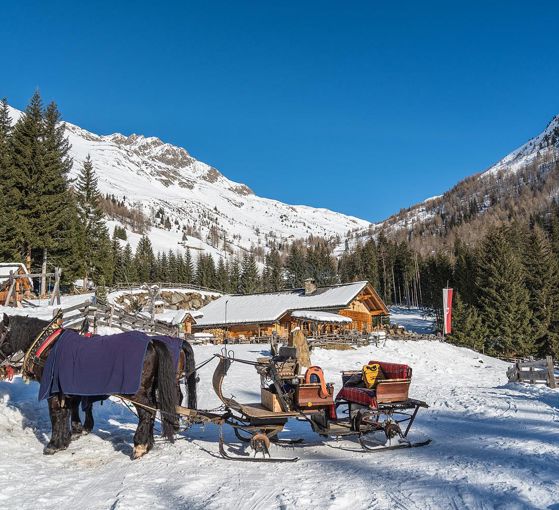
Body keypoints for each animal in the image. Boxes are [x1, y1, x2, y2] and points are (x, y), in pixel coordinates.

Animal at [0, 312, 197, 460]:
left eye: (0, 332)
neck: (47, 345)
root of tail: (152, 342)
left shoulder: (53, 390)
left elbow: (56, 414)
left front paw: (54, 444)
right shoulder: (67, 388)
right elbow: (67, 412)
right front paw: (67, 438)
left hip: (138, 391)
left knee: (148, 410)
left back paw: (140, 445)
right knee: (155, 408)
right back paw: (149, 442)